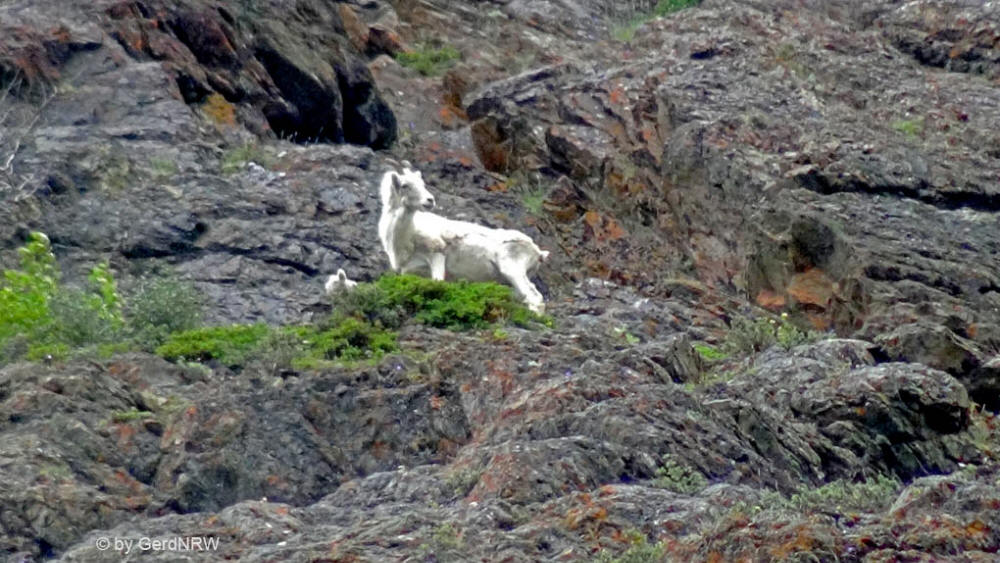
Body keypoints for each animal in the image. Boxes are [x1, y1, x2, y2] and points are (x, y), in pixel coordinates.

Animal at [378, 164, 549, 314]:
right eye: (405, 185)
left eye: (422, 184)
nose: (430, 200)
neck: (405, 239)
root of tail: (539, 252)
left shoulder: (437, 254)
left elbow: (438, 282)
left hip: (512, 269)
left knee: (535, 298)